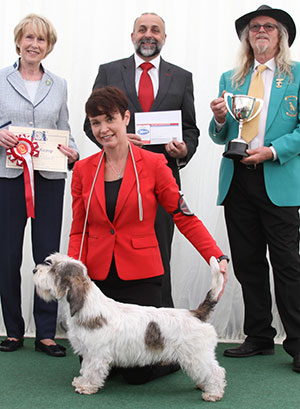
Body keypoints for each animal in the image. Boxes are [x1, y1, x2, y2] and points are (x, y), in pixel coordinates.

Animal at [32, 253, 225, 400]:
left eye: (53, 269)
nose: (34, 270)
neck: (87, 305)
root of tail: (196, 314)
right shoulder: (88, 352)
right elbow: (86, 368)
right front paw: (81, 381)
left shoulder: (97, 354)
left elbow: (93, 371)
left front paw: (87, 387)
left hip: (197, 356)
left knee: (216, 371)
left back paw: (213, 393)